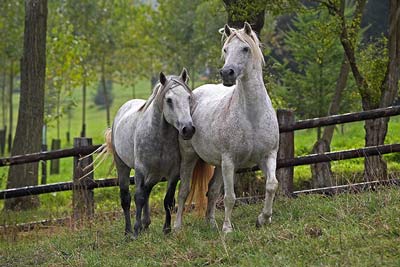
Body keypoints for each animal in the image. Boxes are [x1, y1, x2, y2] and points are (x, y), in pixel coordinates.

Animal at [106, 69, 195, 239]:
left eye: (188, 97)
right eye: (169, 100)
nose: (188, 129)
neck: (160, 136)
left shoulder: (174, 173)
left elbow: (168, 201)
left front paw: (166, 230)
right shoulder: (140, 170)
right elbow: (138, 197)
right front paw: (135, 231)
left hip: (154, 174)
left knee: (147, 190)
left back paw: (145, 224)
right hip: (123, 166)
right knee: (126, 198)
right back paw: (128, 231)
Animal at [175, 22, 278, 233]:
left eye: (245, 48)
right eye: (225, 49)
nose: (226, 73)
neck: (252, 117)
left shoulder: (268, 155)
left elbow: (272, 185)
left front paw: (263, 218)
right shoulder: (230, 161)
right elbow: (230, 197)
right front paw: (228, 229)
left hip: (218, 164)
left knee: (212, 191)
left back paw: (211, 223)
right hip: (190, 157)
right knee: (184, 191)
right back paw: (177, 227)